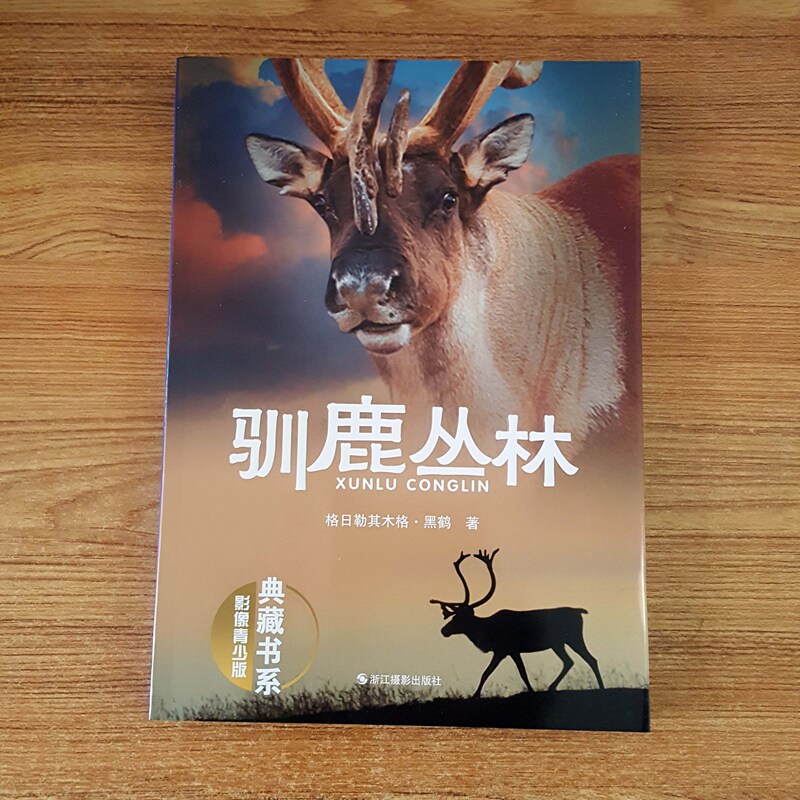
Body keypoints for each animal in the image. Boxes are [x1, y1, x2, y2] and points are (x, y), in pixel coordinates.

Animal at [430, 549, 604, 697]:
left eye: (458, 618)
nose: (443, 630)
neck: (486, 630)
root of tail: (579, 611)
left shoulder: (507, 649)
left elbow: (503, 672)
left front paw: (476, 695)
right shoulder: (505, 651)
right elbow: (496, 672)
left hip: (573, 638)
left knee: (590, 659)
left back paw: (600, 687)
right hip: (558, 643)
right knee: (569, 661)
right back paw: (553, 686)